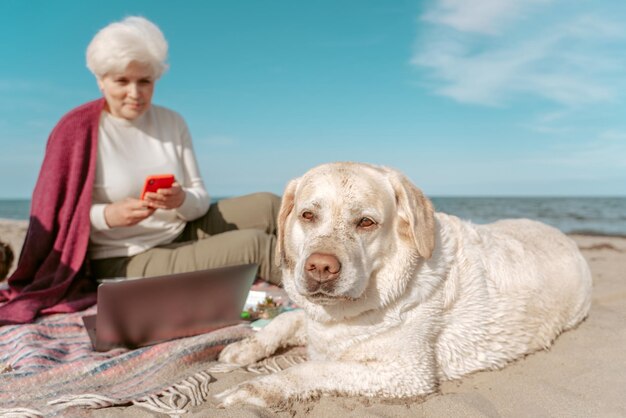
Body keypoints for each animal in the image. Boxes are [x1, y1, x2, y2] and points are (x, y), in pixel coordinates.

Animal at [216, 162, 588, 406]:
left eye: (366, 222)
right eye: (308, 215)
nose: (321, 267)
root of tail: (565, 237)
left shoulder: (404, 372)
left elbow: (312, 369)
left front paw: (253, 389)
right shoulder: (314, 320)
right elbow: (286, 319)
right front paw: (245, 347)